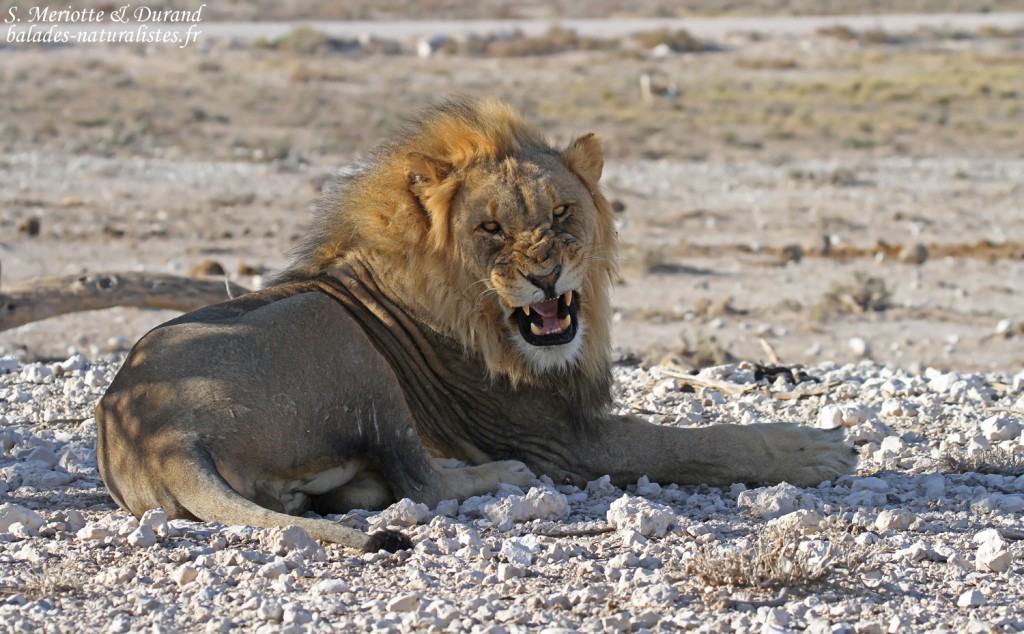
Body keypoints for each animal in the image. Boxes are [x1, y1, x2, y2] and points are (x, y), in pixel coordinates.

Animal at [96, 97, 856, 552]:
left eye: (561, 213)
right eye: (491, 228)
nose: (546, 275)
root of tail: (161, 438)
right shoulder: (560, 442)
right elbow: (695, 442)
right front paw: (813, 450)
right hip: (332, 331)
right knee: (419, 481)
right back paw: (501, 477)